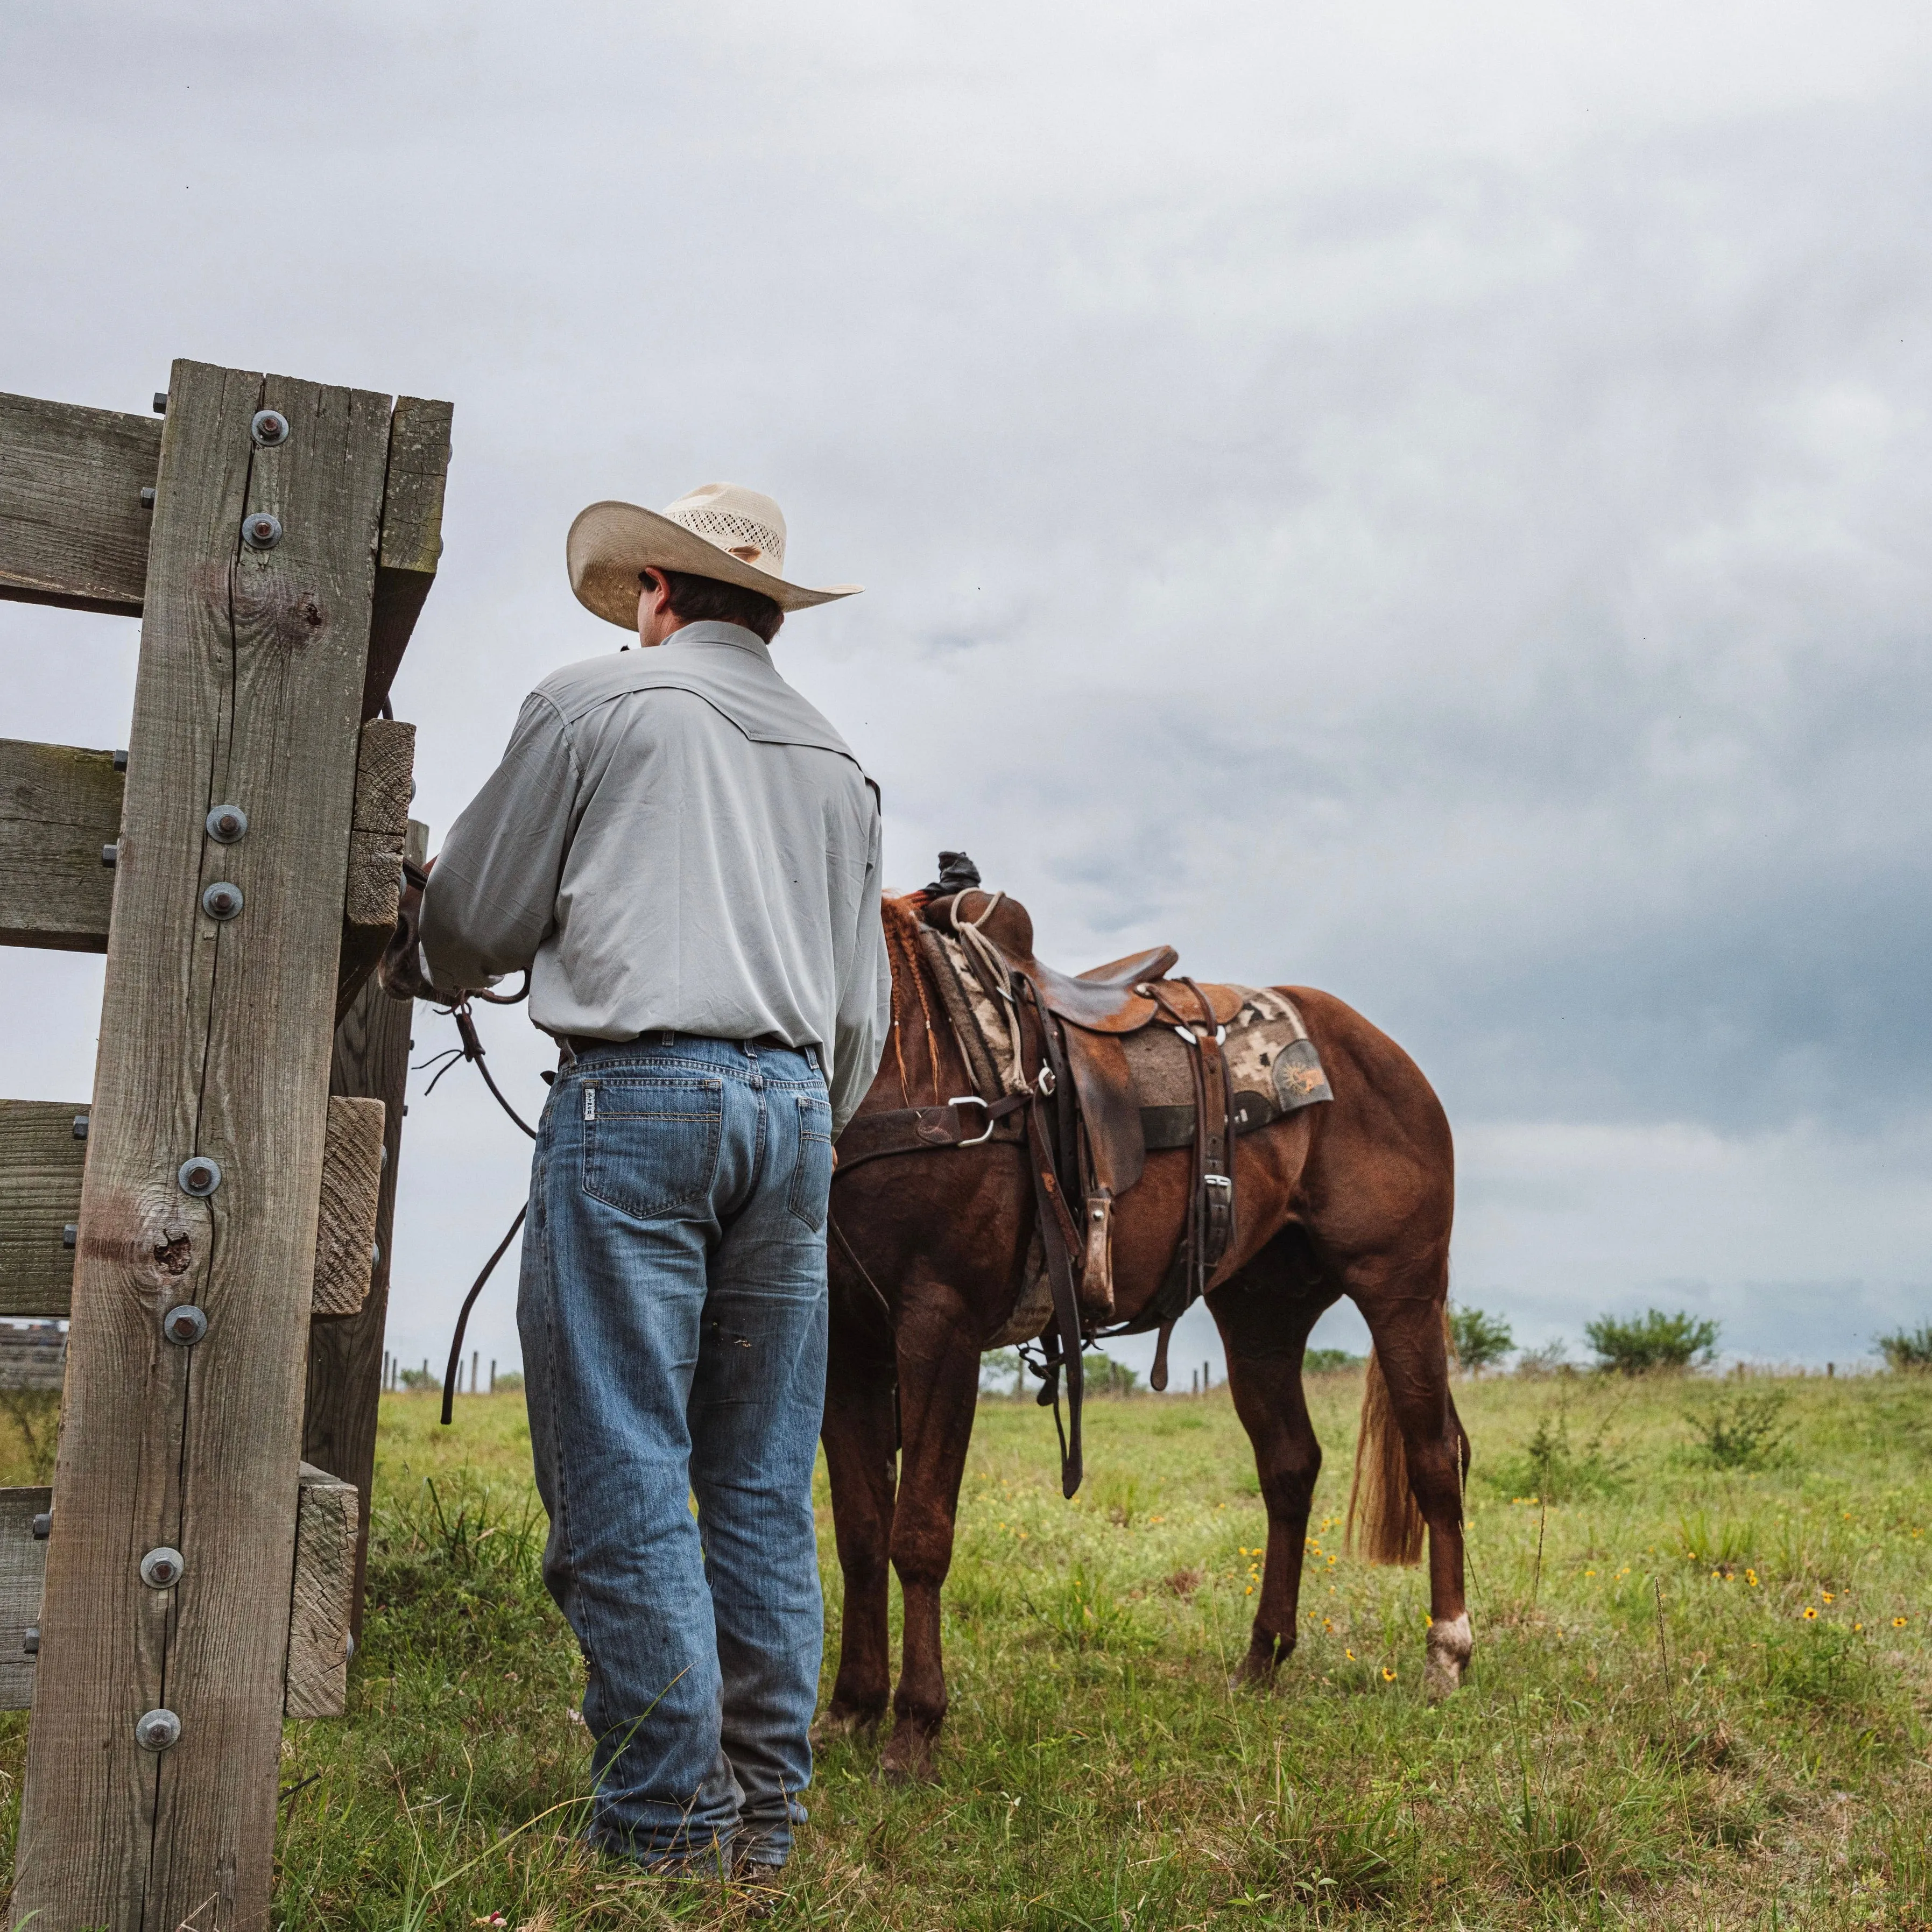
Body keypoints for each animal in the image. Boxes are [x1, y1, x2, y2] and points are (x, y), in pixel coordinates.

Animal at [815, 889, 1461, 1777]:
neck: (901, 1049)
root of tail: (1385, 1054)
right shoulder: (845, 1344)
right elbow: (857, 1532)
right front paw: (850, 1708)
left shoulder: (936, 1324)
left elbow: (918, 1532)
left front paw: (914, 1728)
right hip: (1262, 1316)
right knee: (1289, 1467)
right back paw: (1262, 1657)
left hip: (1400, 1291)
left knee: (1434, 1458)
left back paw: (1445, 1654)